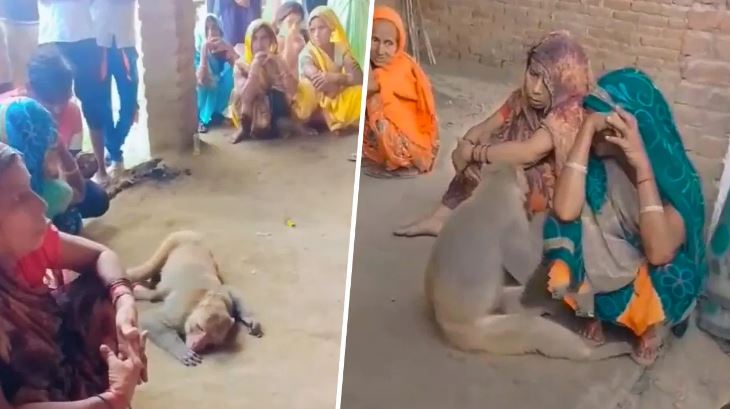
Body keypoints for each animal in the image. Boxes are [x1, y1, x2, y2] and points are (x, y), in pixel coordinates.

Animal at [128, 230, 262, 366]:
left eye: (209, 341)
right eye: (199, 328)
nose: (196, 345)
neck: (203, 299)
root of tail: (191, 233)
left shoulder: (225, 299)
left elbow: (233, 291)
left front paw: (251, 320)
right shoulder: (179, 312)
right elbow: (149, 319)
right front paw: (182, 351)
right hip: (175, 239)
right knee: (151, 269)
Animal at [420, 164, 632, 358]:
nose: (527, 182)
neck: (494, 187)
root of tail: (448, 325)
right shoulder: (511, 219)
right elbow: (526, 265)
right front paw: (543, 217)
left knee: (509, 299)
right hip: (485, 329)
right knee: (534, 330)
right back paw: (597, 350)